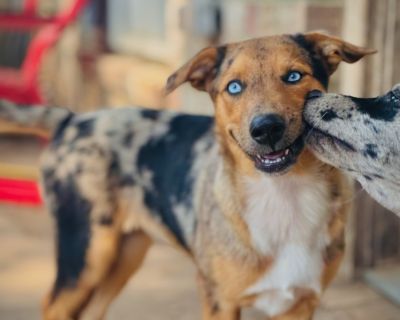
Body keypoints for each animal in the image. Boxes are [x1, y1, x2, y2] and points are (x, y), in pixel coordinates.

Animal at [0, 31, 376, 318]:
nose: (266, 128)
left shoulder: (300, 302)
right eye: (234, 87)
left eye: (295, 77)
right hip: (87, 252)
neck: (284, 195)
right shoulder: (219, 301)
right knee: (54, 305)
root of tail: (72, 119)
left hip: (126, 253)